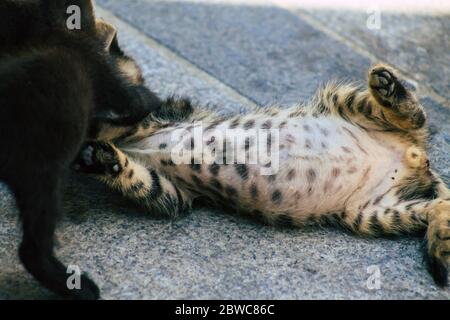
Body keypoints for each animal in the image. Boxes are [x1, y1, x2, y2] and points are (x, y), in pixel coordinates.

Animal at [0, 0, 162, 300]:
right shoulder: (101, 68)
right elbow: (135, 100)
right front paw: (154, 100)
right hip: (43, 173)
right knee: (32, 248)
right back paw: (79, 287)